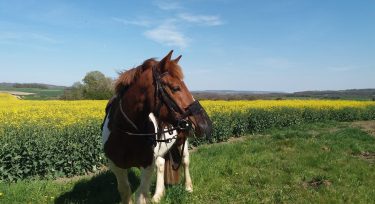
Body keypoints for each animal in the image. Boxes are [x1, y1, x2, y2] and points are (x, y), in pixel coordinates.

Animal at [100, 50, 212, 203]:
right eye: (175, 88)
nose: (205, 124)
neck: (126, 133)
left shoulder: (147, 165)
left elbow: (141, 195)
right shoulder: (116, 166)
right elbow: (125, 191)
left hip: (182, 140)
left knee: (185, 161)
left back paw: (188, 187)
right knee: (161, 163)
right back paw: (158, 194)